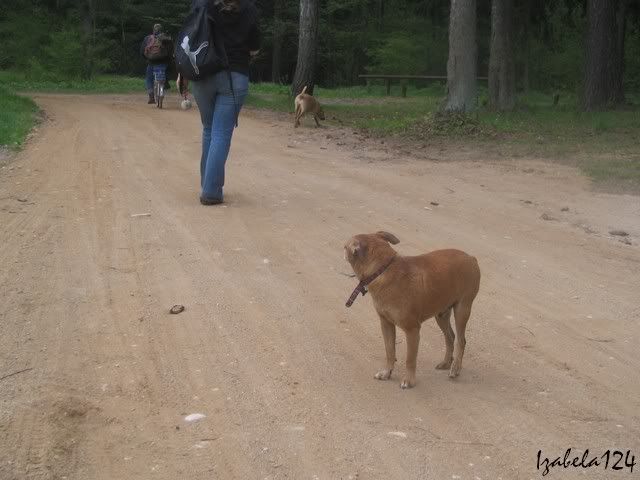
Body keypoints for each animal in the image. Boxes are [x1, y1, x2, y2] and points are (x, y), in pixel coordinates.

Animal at [344, 231, 480, 389]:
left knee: (461, 341)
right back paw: (446, 363)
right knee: (450, 337)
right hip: (441, 314)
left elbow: (410, 359)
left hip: (462, 310)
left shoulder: (412, 330)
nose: (342, 249)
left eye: (345, 247)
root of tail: (471, 258)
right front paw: (386, 372)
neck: (383, 269)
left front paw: (409, 380)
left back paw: (455, 368)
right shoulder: (386, 324)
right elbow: (390, 352)